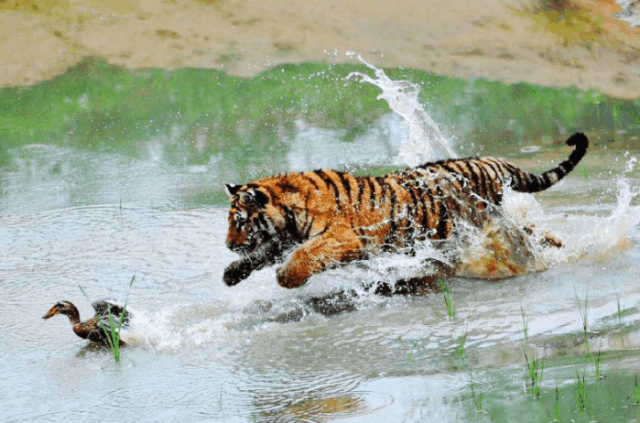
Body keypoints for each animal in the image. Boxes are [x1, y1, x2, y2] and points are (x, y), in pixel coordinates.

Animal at [224, 133, 592, 292]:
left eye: (239, 222)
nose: (228, 245)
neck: (290, 215)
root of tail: (488, 161)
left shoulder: (343, 237)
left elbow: (307, 254)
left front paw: (286, 278)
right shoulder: (283, 238)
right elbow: (261, 253)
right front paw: (231, 273)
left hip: (483, 225)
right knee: (534, 233)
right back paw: (559, 249)